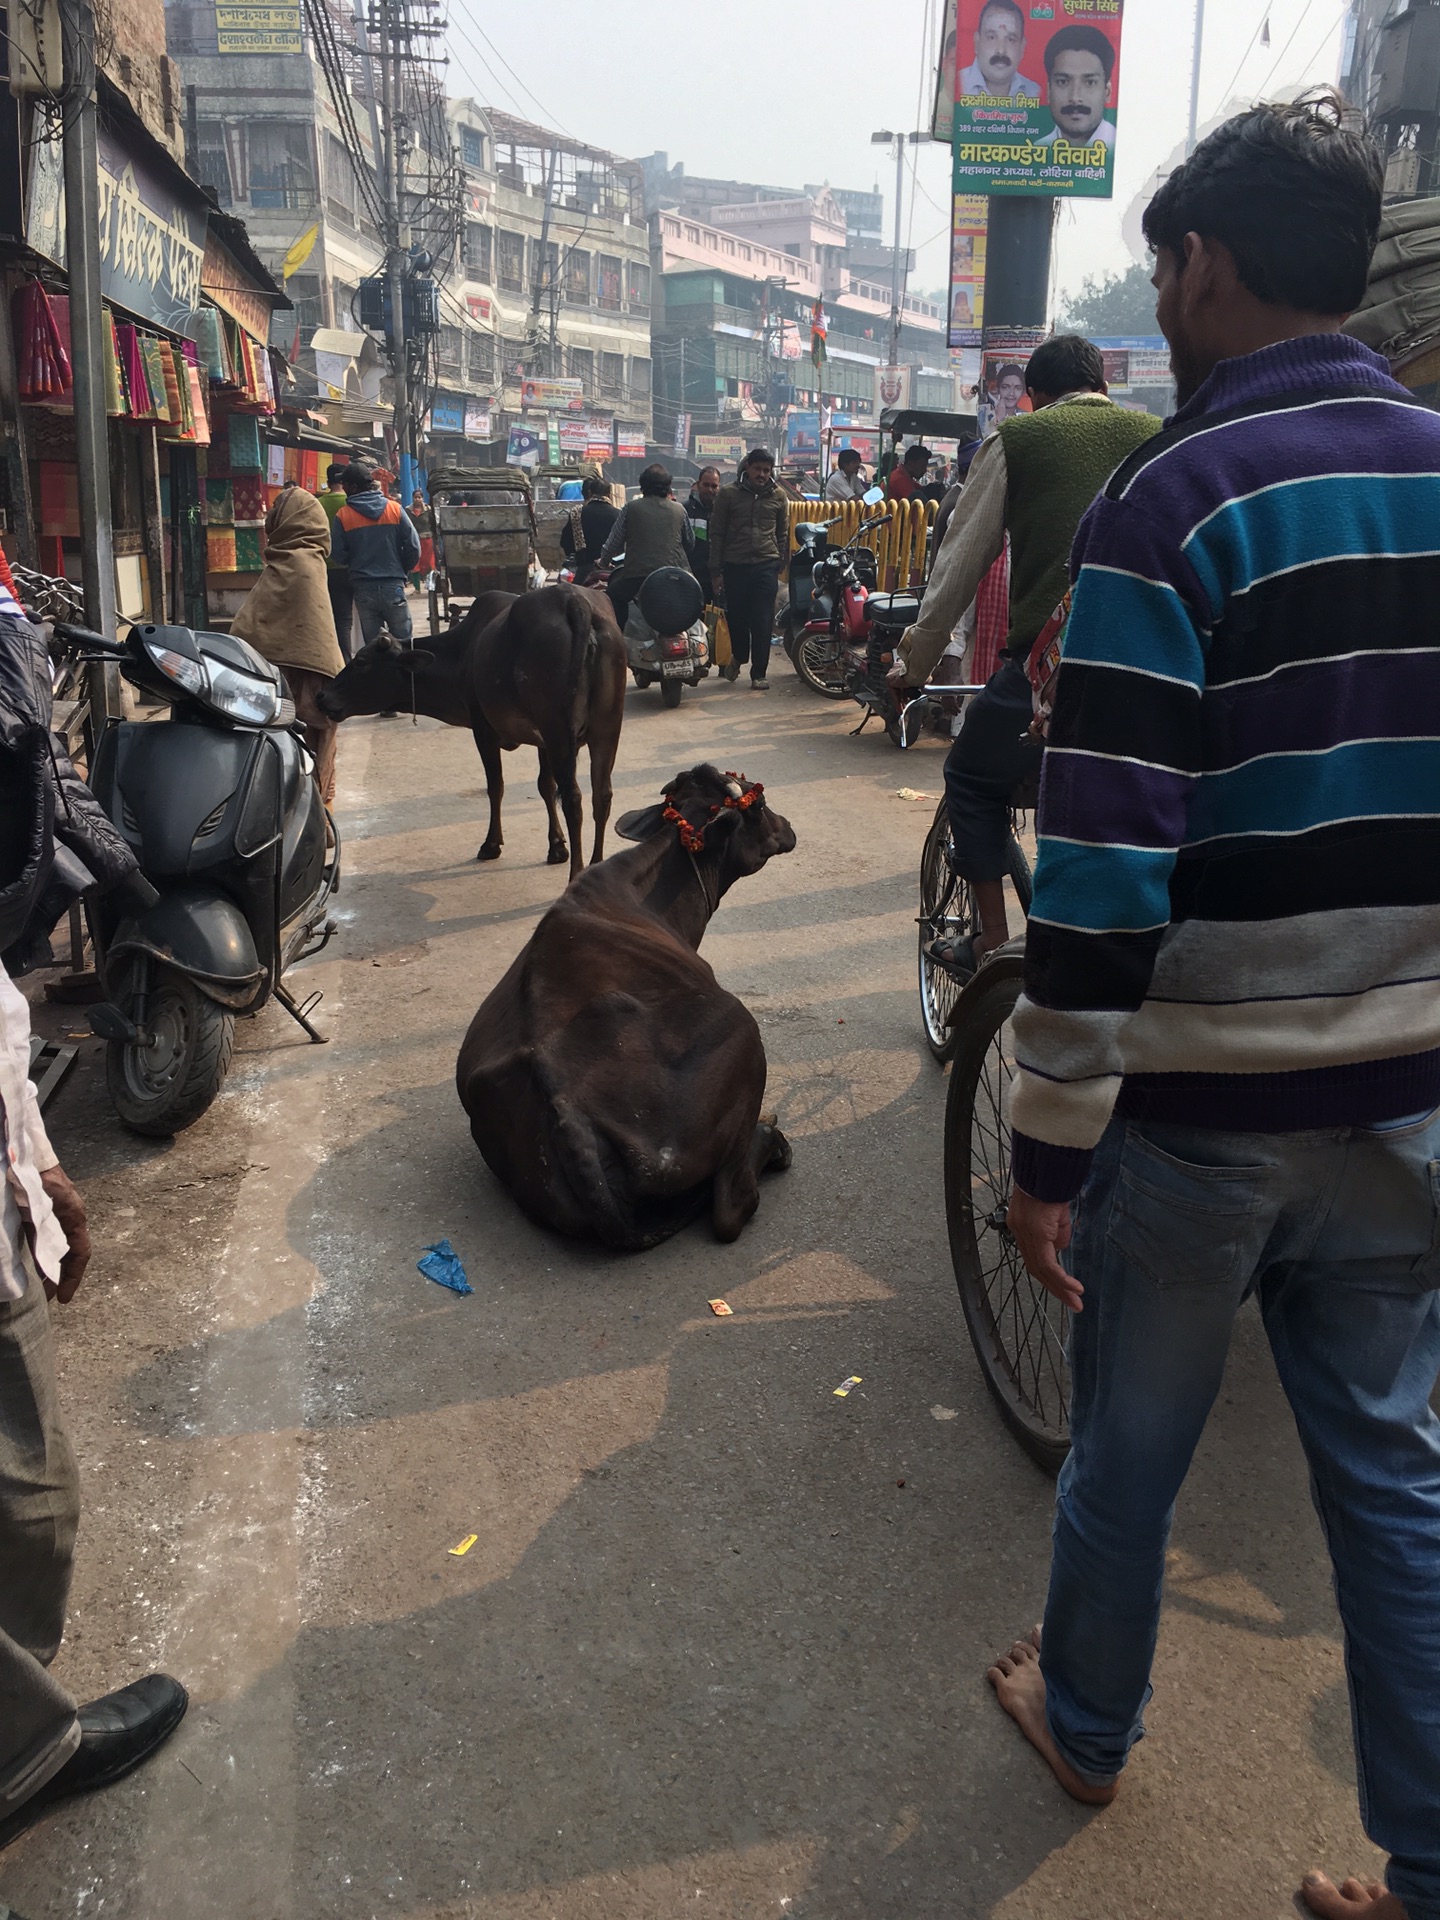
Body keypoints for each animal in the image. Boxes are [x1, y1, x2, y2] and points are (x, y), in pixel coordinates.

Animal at [458, 764, 802, 1259]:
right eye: (757, 805)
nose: (788, 825)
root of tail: (565, 1109)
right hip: (743, 1030)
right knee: (731, 1206)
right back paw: (771, 1140)